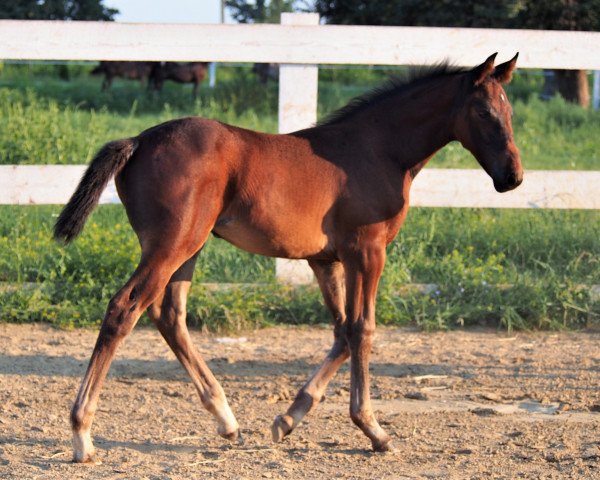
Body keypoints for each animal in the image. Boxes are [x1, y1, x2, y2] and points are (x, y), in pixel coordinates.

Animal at [57, 52, 524, 462]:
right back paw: (83, 435)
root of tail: (138, 141)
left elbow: (342, 331)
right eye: (485, 112)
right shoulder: (367, 251)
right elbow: (363, 329)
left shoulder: (326, 260)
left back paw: (226, 419)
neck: (376, 151)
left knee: (169, 315)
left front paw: (287, 419)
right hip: (172, 245)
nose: (513, 177)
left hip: (188, 247)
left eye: (510, 111)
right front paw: (373, 429)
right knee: (125, 308)